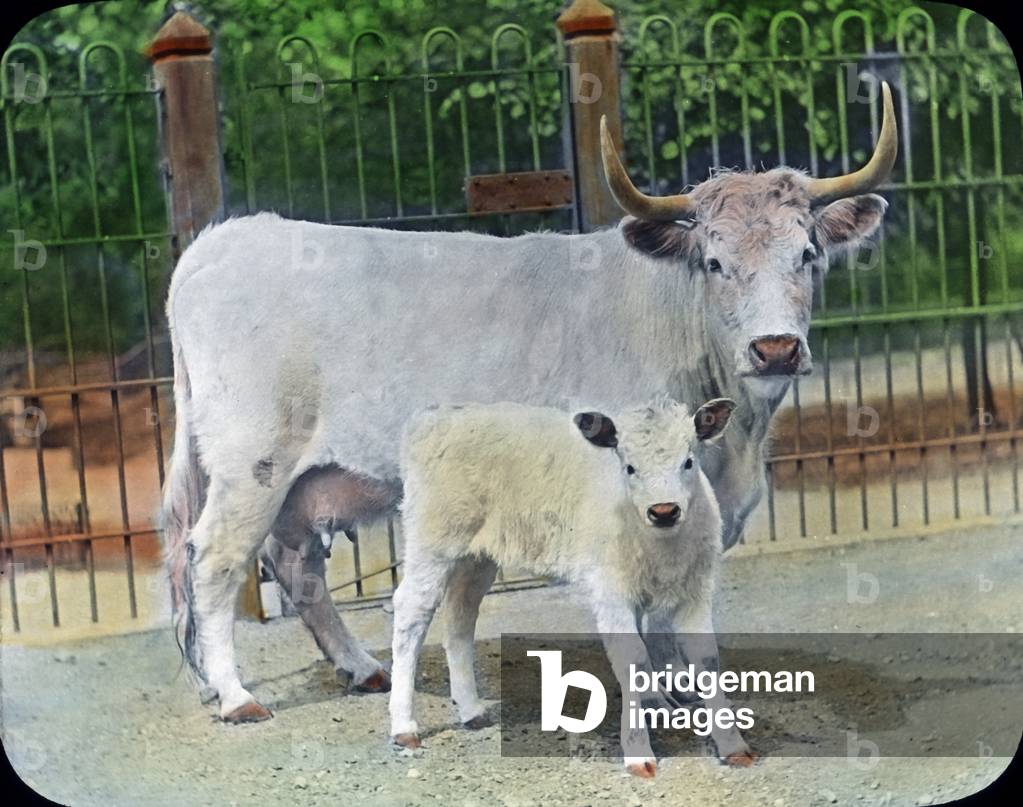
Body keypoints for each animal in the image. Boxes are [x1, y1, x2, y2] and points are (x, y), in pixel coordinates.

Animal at [161, 83, 896, 725]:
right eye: (714, 263)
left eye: (808, 254)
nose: (775, 348)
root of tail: (225, 239)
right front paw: (657, 694)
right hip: (251, 463)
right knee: (215, 558)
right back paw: (235, 695)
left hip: (298, 481)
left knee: (296, 565)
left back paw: (360, 668)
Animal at [389, 397, 739, 776]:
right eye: (629, 468)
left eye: (688, 462)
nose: (663, 510)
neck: (662, 545)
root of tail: (433, 418)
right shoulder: (610, 589)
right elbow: (632, 658)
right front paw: (638, 753)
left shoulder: (695, 588)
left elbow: (706, 658)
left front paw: (732, 745)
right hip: (433, 536)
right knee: (412, 611)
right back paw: (404, 726)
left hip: (477, 554)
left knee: (460, 614)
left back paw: (472, 710)